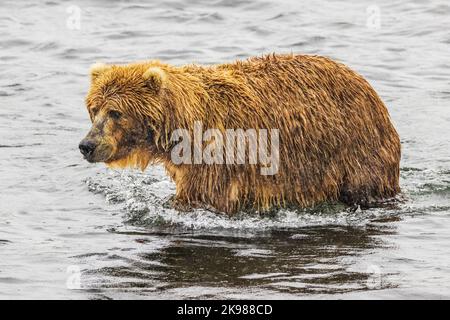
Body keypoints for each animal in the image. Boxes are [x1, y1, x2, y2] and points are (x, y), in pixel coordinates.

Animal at [80, 54, 400, 215]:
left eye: (115, 112)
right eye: (94, 109)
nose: (87, 145)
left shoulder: (214, 159)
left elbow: (201, 199)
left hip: (355, 147)